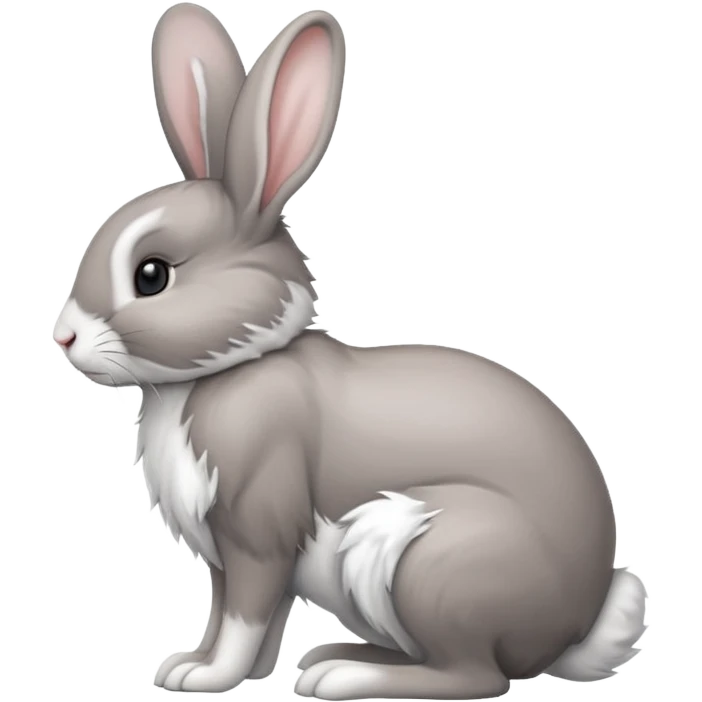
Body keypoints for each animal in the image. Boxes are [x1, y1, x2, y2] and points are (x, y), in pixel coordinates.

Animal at [52, 2, 649, 699]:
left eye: (151, 275)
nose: (62, 335)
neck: (233, 366)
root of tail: (576, 628)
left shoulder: (258, 529)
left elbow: (245, 614)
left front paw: (208, 678)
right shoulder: (227, 554)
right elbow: (236, 615)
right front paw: (193, 667)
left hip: (427, 557)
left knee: (472, 675)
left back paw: (346, 675)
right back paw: (327, 659)